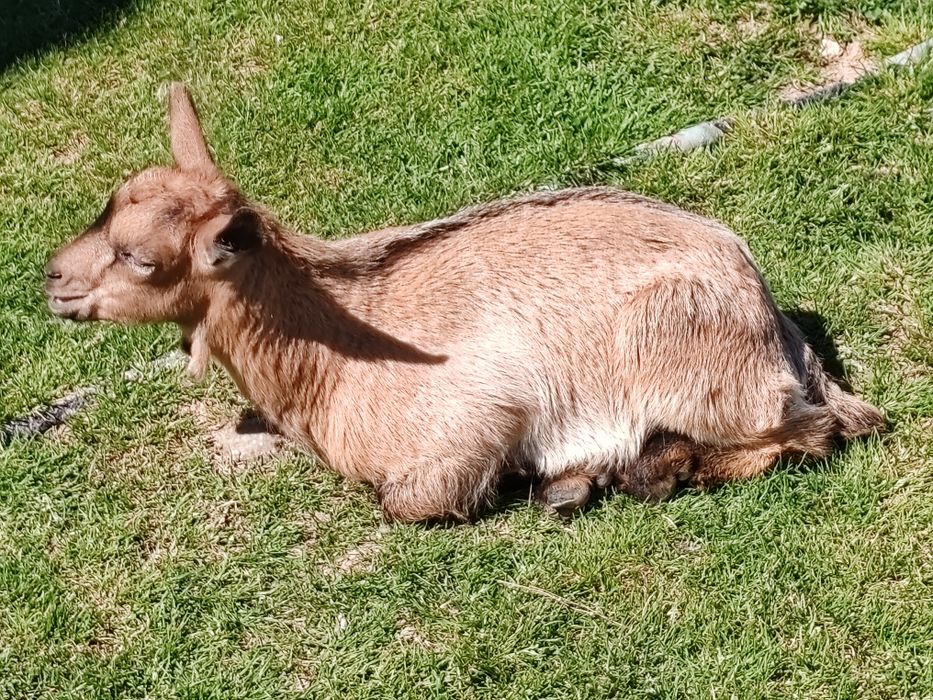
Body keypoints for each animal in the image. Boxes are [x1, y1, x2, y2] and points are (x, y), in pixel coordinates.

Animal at [44, 85, 884, 521]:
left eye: (139, 256)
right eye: (104, 210)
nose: (53, 279)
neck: (329, 361)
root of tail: (765, 307)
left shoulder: (475, 417)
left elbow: (409, 499)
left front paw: (548, 476)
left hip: (694, 368)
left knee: (819, 431)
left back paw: (634, 473)